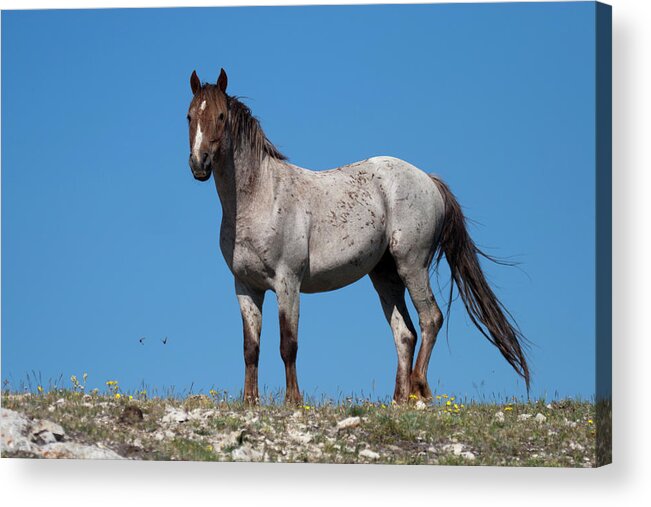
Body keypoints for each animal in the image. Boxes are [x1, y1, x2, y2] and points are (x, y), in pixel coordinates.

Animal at [185, 69, 528, 406]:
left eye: (220, 116)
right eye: (189, 115)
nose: (199, 164)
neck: (261, 197)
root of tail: (429, 180)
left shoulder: (287, 282)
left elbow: (288, 344)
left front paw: (293, 402)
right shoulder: (246, 287)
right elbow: (250, 349)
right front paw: (250, 402)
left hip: (412, 265)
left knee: (430, 319)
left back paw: (419, 388)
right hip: (385, 275)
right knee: (405, 333)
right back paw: (399, 400)